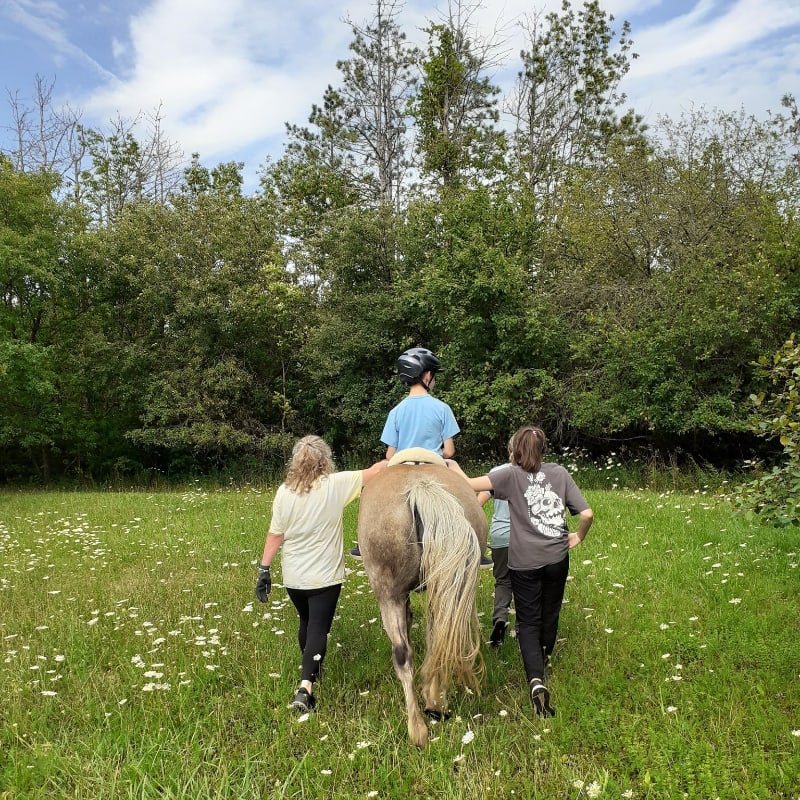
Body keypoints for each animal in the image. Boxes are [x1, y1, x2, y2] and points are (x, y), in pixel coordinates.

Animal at [356, 449, 488, 747]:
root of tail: (420, 487)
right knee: (434, 642)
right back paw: (432, 706)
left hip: (388, 594)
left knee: (402, 654)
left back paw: (417, 728)